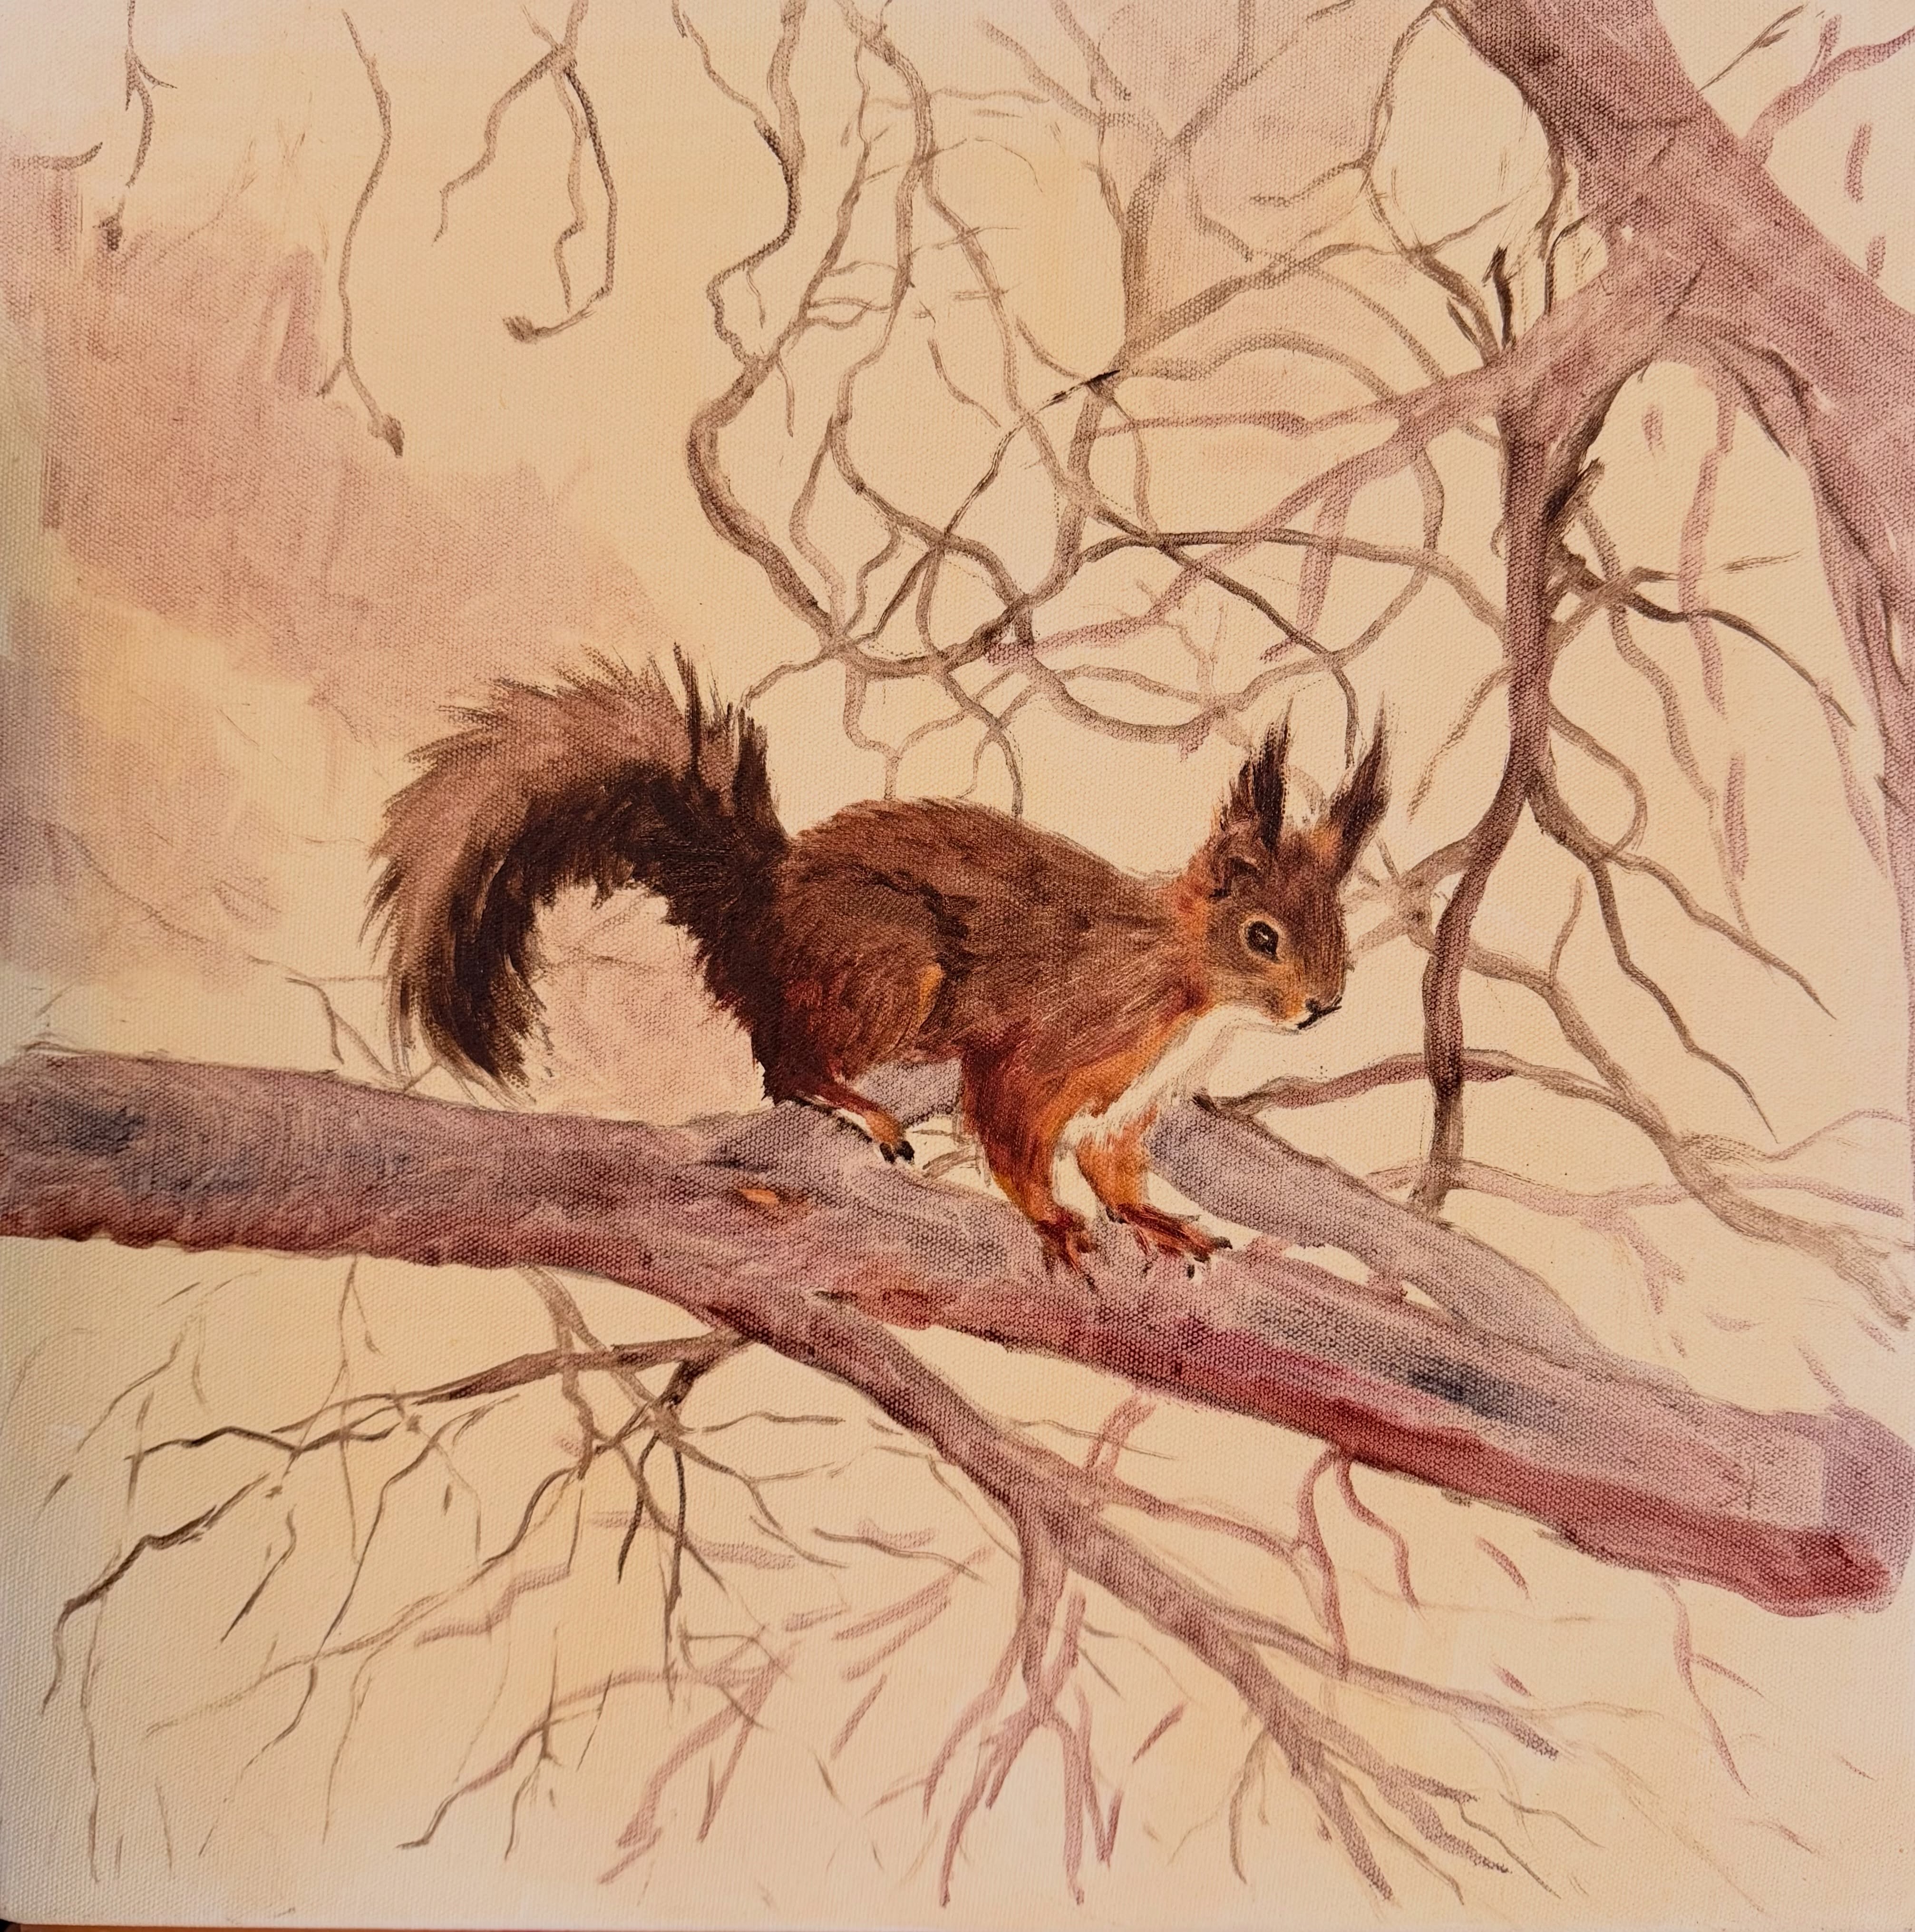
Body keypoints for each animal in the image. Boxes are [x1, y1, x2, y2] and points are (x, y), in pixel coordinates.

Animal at [369, 655, 1387, 1269]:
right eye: (1262, 935)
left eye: (1336, 924)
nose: (1324, 1004)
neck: (1191, 996)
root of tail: (757, 911)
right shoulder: (1049, 1041)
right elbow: (1012, 1127)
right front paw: (1050, 1219)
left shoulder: (1132, 1102)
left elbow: (1111, 1164)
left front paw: (1150, 1218)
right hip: (890, 961)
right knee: (785, 1060)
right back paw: (855, 1102)